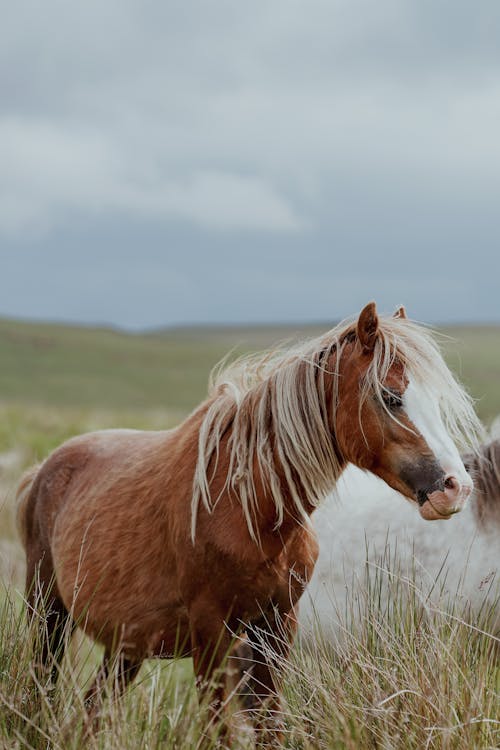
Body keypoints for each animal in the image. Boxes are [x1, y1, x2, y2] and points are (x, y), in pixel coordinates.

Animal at [15, 306, 478, 748]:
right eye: (390, 396)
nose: (455, 487)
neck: (251, 511)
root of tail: (45, 469)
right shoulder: (210, 636)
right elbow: (217, 732)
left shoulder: (275, 629)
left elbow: (270, 728)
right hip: (49, 616)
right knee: (42, 694)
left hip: (125, 647)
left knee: (89, 713)